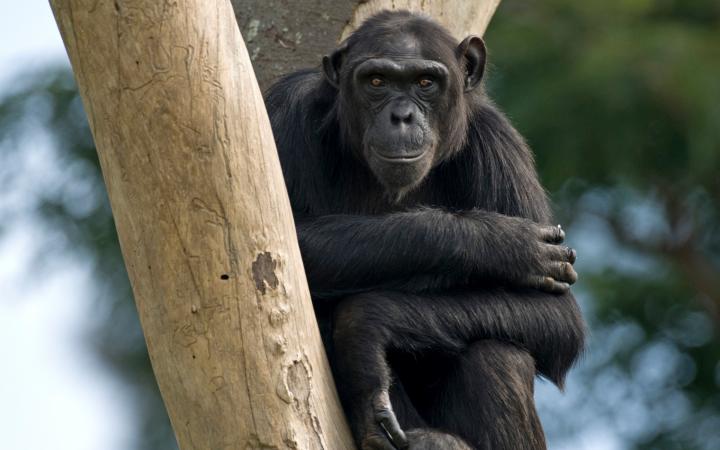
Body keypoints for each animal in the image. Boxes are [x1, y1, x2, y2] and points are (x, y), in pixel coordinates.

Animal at [264, 10, 584, 450]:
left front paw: (365, 325)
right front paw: (501, 243)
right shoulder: (286, 110)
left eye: (425, 83)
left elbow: (558, 315)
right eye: (376, 81)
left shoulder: (500, 146)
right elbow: (283, 244)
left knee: (497, 354)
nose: (402, 116)